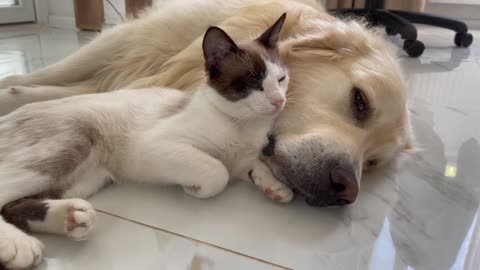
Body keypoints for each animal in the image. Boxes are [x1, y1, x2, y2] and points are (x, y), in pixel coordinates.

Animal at [0, 13, 292, 268]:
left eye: (281, 79)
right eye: (253, 82)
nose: (279, 101)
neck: (243, 126)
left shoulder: (244, 156)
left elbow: (254, 164)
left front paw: (274, 185)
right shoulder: (155, 147)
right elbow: (216, 171)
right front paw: (194, 188)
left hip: (84, 181)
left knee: (12, 206)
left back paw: (71, 217)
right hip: (70, 144)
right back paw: (18, 245)